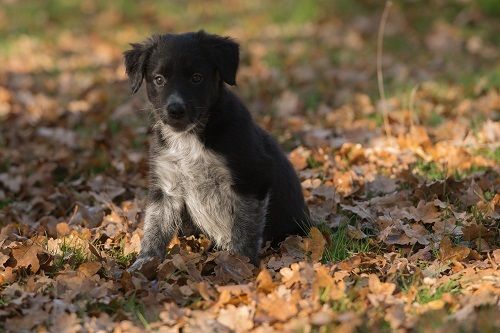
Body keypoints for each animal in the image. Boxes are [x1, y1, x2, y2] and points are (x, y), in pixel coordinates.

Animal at [125, 30, 308, 270]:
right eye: (159, 79)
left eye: (197, 77)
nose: (175, 110)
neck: (190, 137)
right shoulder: (166, 186)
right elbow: (155, 228)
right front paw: (144, 263)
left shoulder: (252, 178)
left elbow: (244, 229)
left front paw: (239, 264)